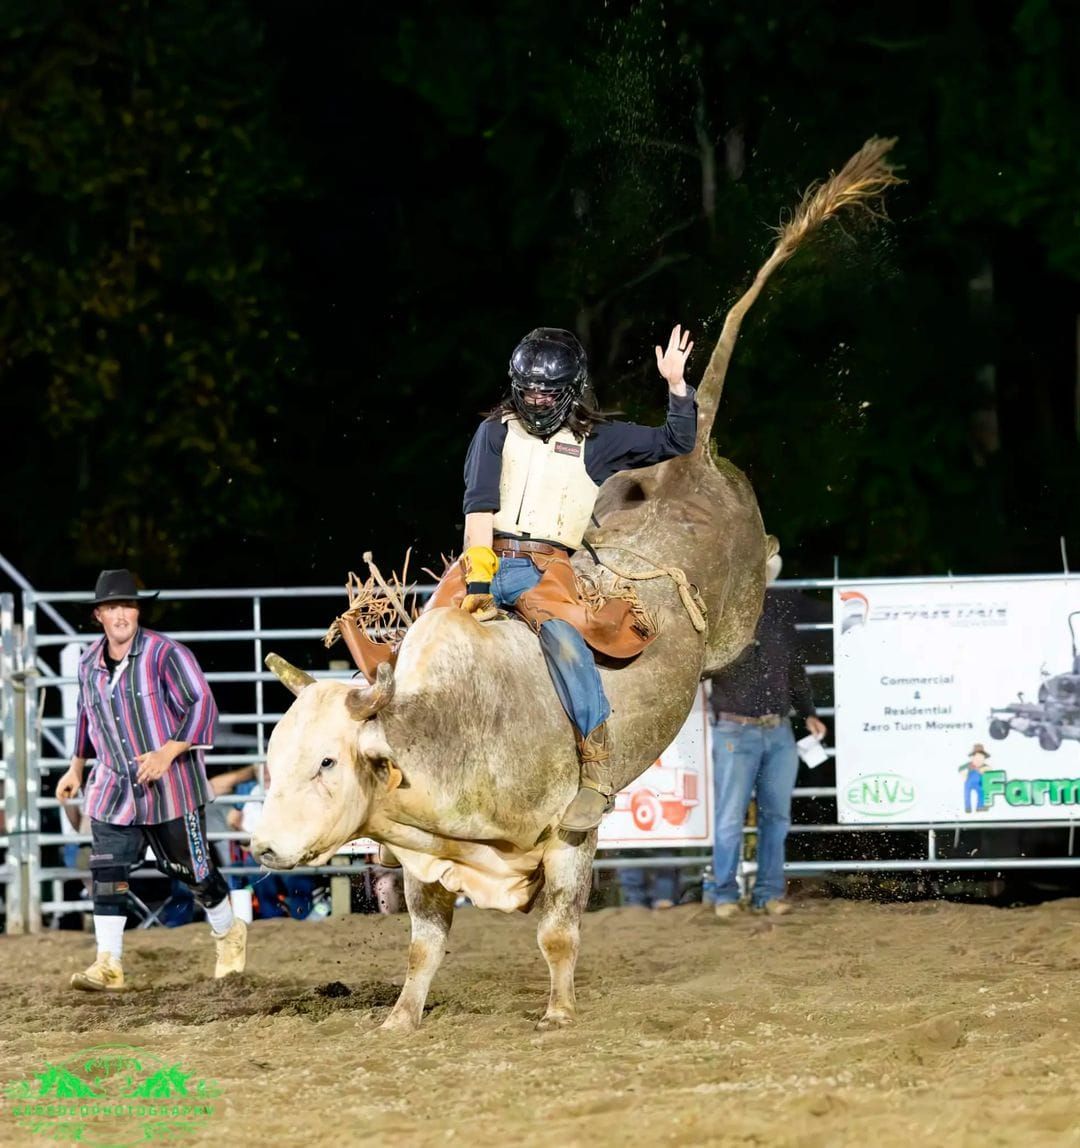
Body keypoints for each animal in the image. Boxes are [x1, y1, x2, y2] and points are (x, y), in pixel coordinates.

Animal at [251, 138, 899, 1031]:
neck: (449, 732)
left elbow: (557, 931)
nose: (263, 844)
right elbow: (423, 946)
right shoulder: (422, 866)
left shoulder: (567, 837)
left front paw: (557, 1012)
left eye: (325, 762)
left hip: (735, 597)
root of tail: (688, 457)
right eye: (273, 755)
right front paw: (401, 1018)